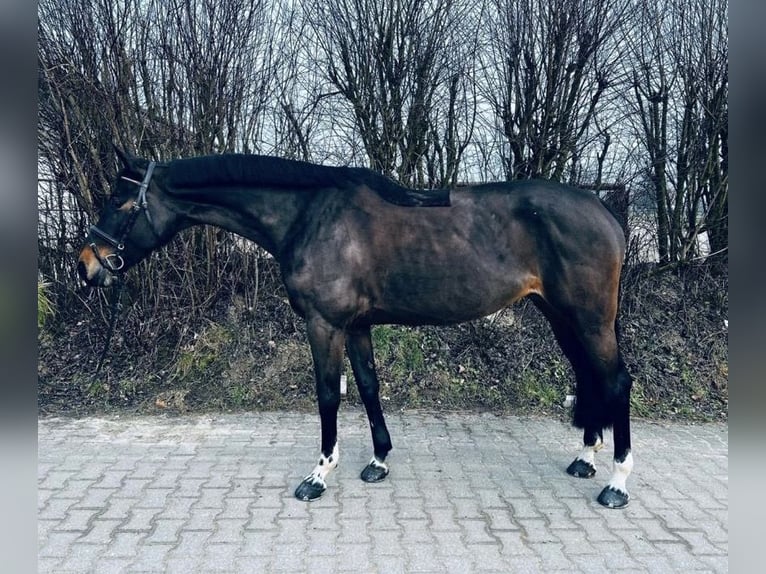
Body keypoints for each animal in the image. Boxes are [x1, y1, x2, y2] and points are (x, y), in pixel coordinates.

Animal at [78, 147, 636, 508]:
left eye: (122, 203)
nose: (87, 265)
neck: (309, 216)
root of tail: (603, 210)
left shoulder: (324, 325)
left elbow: (328, 394)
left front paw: (319, 474)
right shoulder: (358, 326)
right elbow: (367, 386)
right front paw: (378, 461)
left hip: (589, 318)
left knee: (616, 381)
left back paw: (616, 483)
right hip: (561, 316)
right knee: (588, 376)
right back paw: (585, 457)